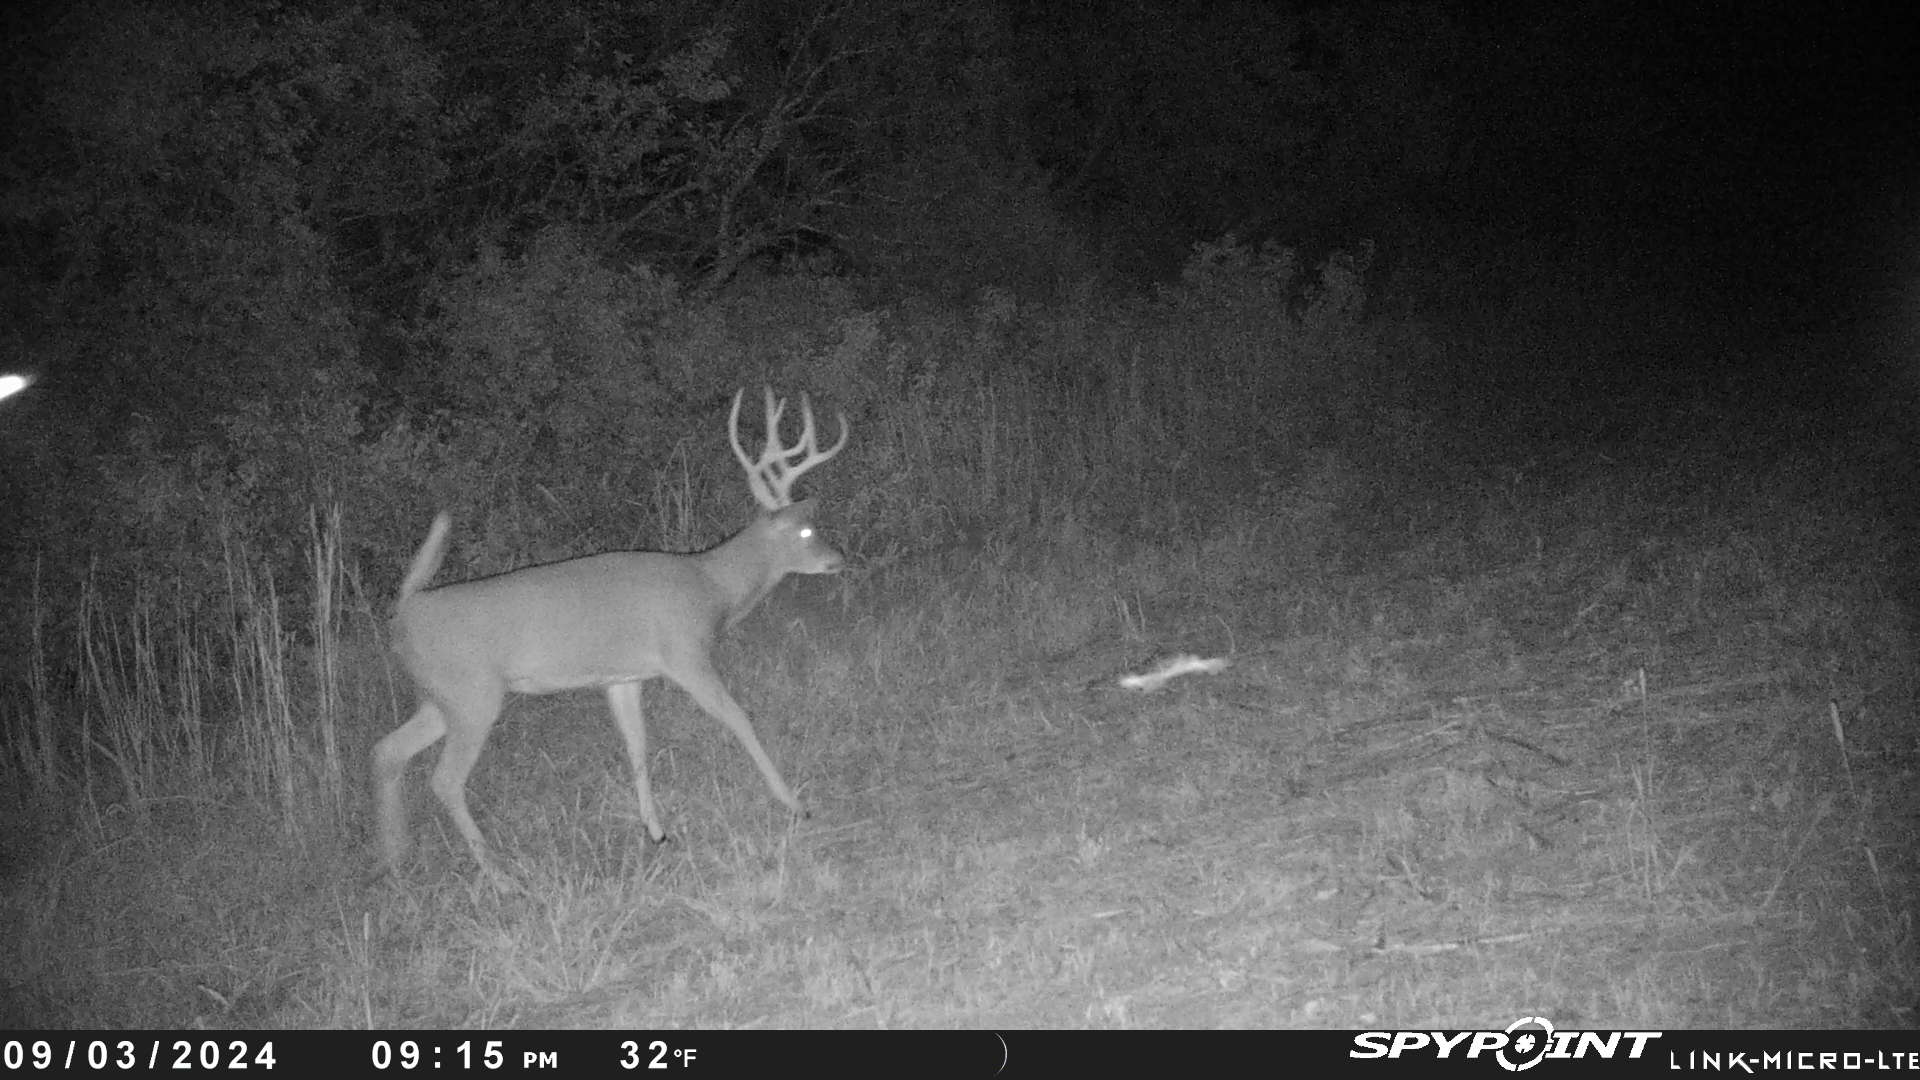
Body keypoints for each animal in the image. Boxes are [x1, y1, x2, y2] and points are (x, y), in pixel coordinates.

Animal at [372, 387, 848, 875]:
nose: (839, 559)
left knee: (386, 751)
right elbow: (739, 718)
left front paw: (656, 831)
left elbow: (636, 745)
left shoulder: (624, 678)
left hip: (440, 697)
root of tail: (406, 609)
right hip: (472, 695)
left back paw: (392, 854)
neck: (711, 586)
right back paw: (498, 875)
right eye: (807, 531)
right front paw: (795, 804)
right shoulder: (686, 654)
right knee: (444, 779)